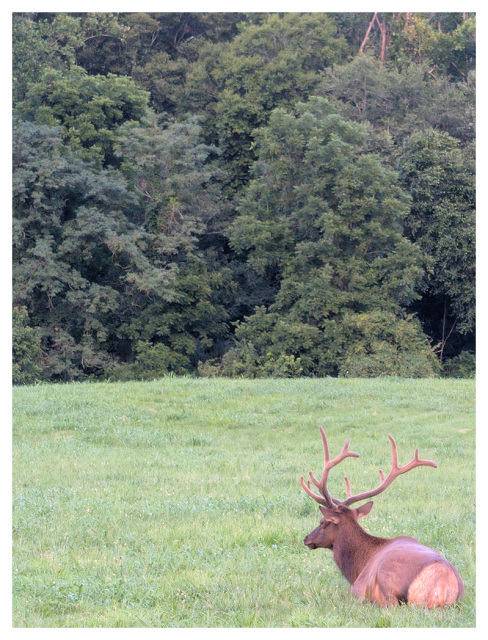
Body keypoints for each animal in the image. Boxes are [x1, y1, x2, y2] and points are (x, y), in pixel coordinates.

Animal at [301, 428, 464, 608]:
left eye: (322, 522)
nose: (306, 538)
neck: (357, 567)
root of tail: (441, 585)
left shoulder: (356, 589)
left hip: (386, 579)